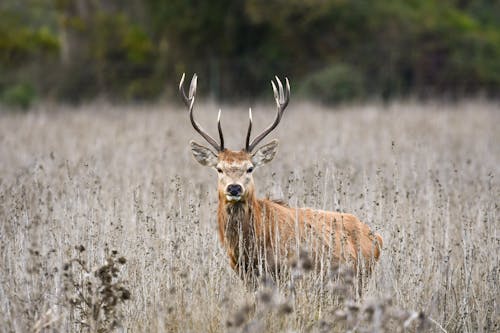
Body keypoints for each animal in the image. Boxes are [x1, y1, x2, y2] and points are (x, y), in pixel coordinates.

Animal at [180, 72, 382, 282]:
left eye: (250, 168)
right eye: (219, 169)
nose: (234, 188)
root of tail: (377, 237)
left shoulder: (285, 271)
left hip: (361, 275)